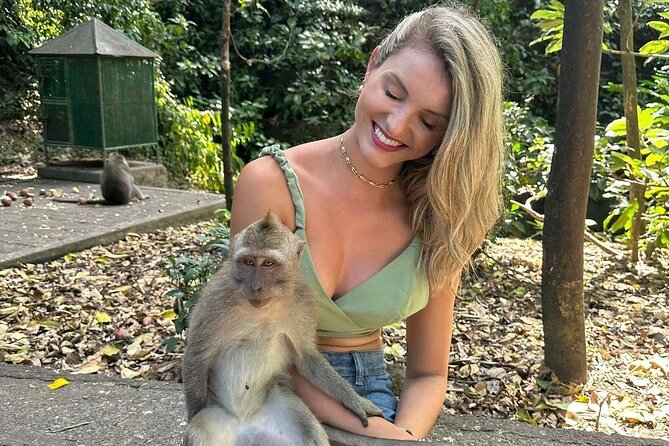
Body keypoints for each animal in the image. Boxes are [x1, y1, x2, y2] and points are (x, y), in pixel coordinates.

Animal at [182, 211, 383, 446]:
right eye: (249, 262)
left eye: (268, 264)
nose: (256, 287)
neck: (264, 308)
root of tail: (246, 426)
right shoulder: (215, 299)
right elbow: (197, 355)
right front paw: (193, 411)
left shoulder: (303, 304)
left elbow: (306, 357)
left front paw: (356, 401)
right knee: (198, 434)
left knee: (311, 434)